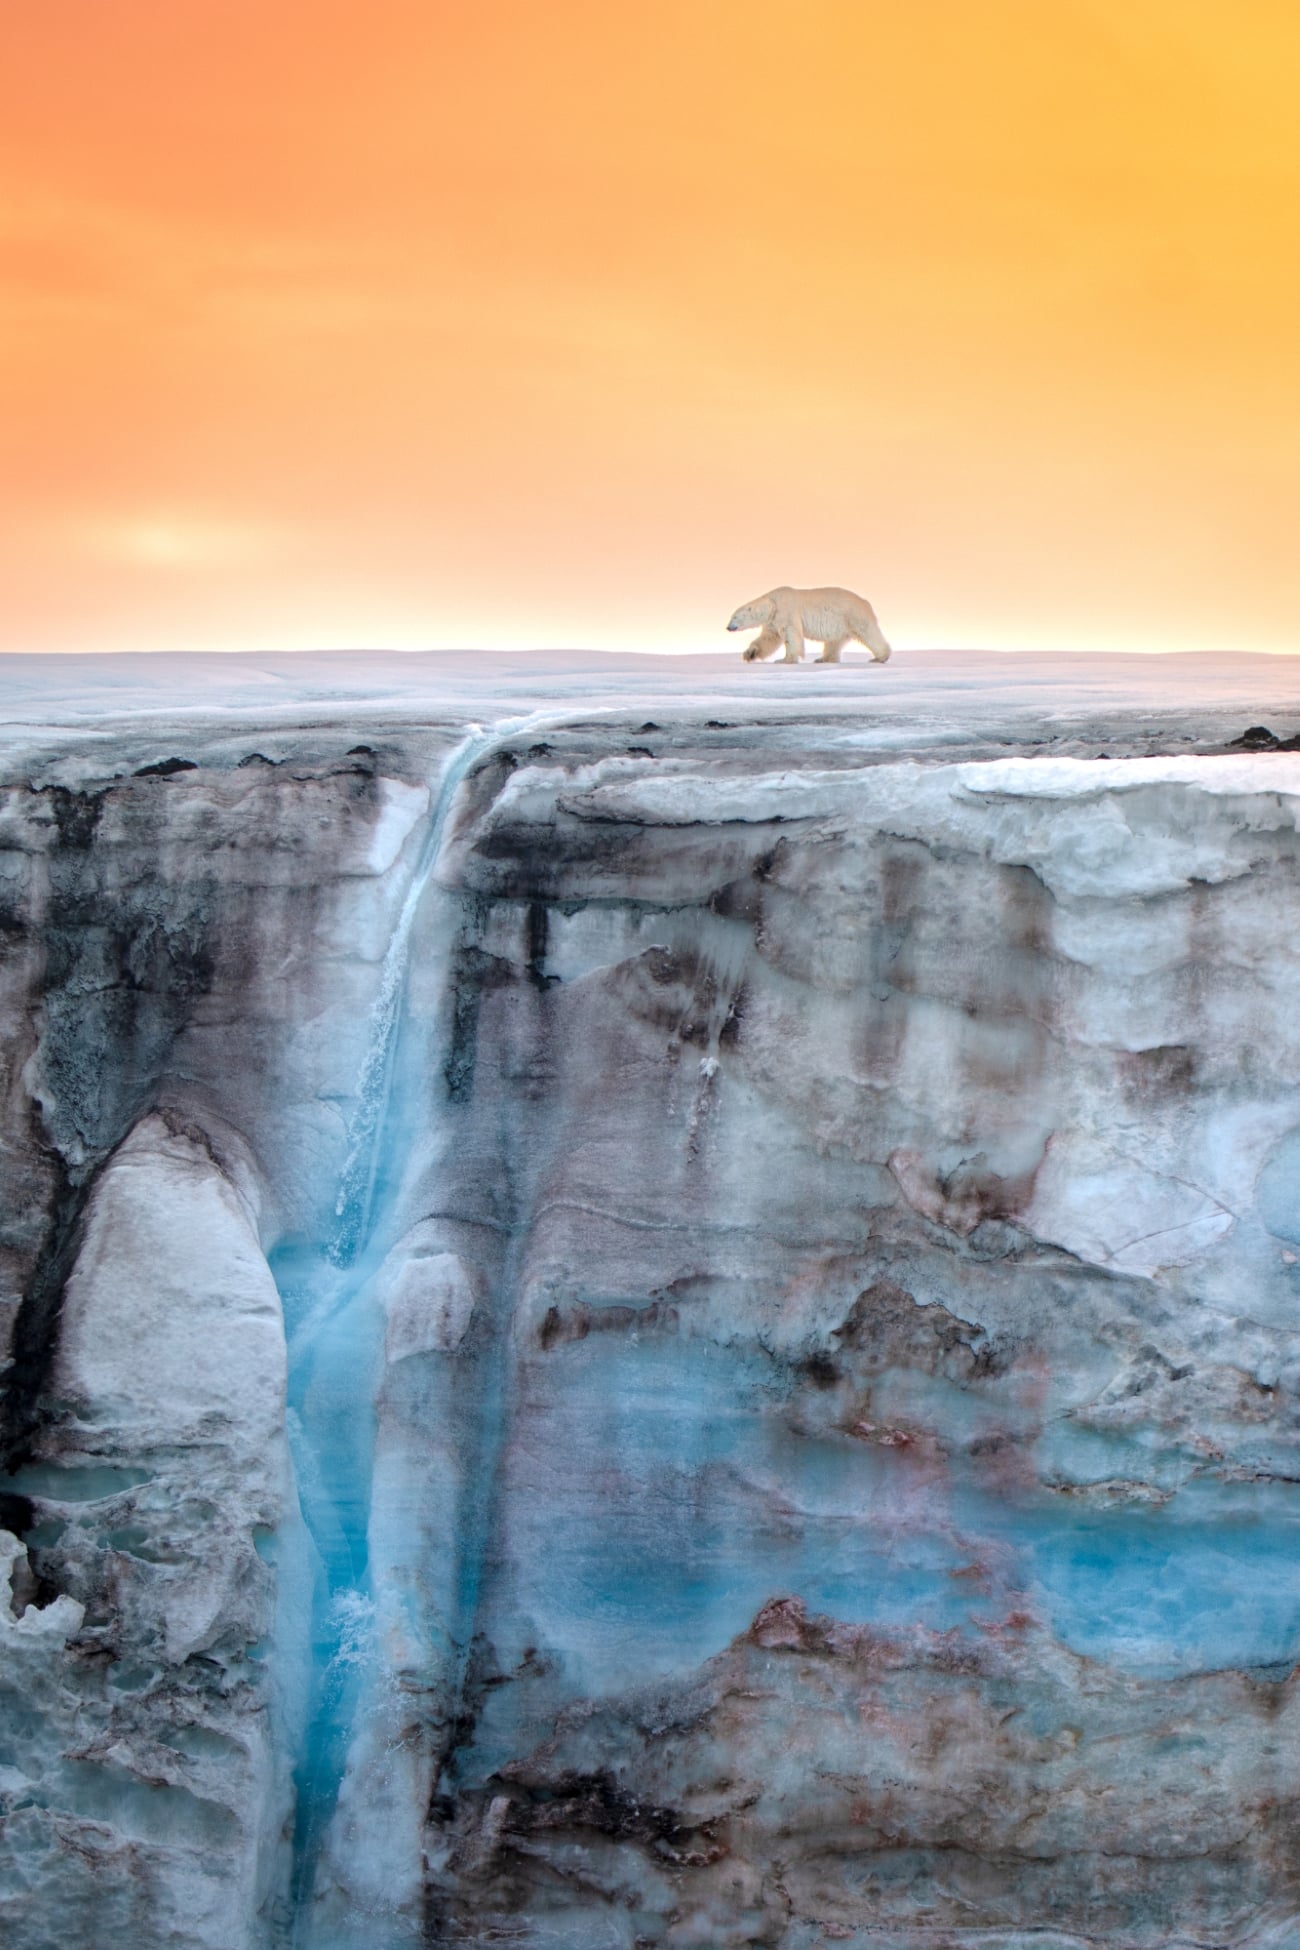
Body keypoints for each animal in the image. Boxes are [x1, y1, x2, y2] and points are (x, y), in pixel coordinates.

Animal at [721, 581, 896, 666]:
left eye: (734, 617)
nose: (728, 627)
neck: (772, 603)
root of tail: (866, 602)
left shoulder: (786, 611)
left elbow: (791, 635)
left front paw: (785, 660)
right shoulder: (773, 620)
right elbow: (768, 638)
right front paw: (749, 654)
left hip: (853, 615)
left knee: (868, 633)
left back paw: (880, 657)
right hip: (840, 624)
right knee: (834, 641)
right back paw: (823, 659)